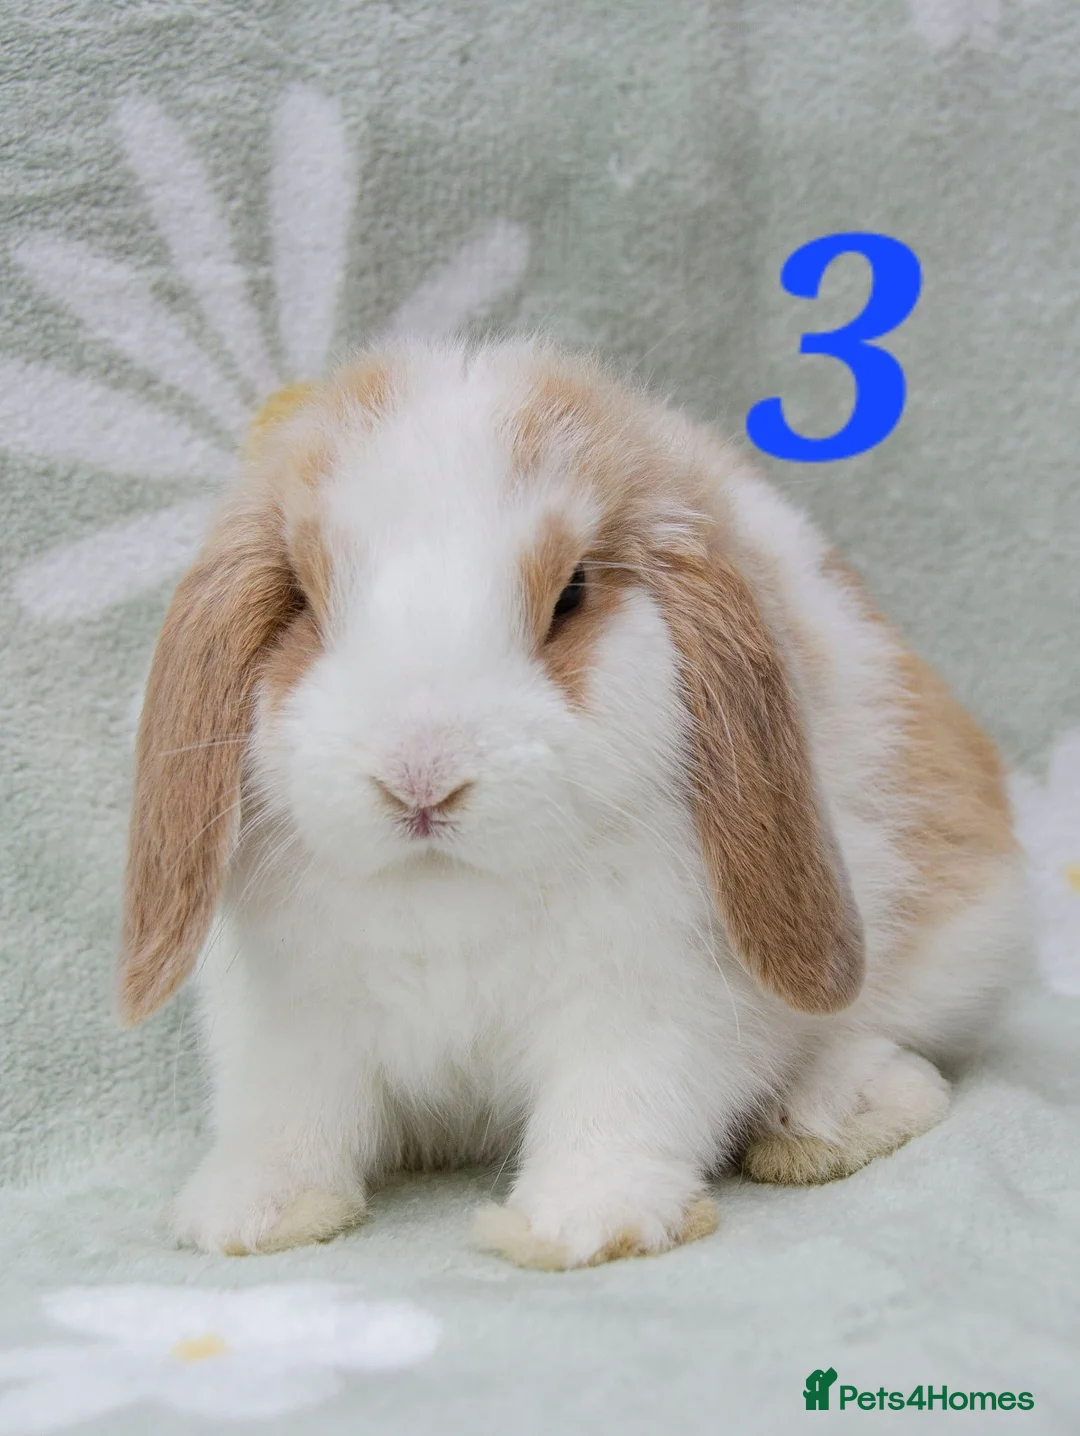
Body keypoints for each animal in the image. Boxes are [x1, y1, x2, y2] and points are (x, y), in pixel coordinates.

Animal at [118, 338, 1029, 1268]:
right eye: (299, 599)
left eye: (572, 595)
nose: (420, 778)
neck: (447, 887)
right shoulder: (289, 1019)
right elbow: (288, 1116)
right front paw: (250, 1216)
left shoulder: (654, 1002)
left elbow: (618, 1107)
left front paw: (587, 1224)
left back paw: (824, 1117)